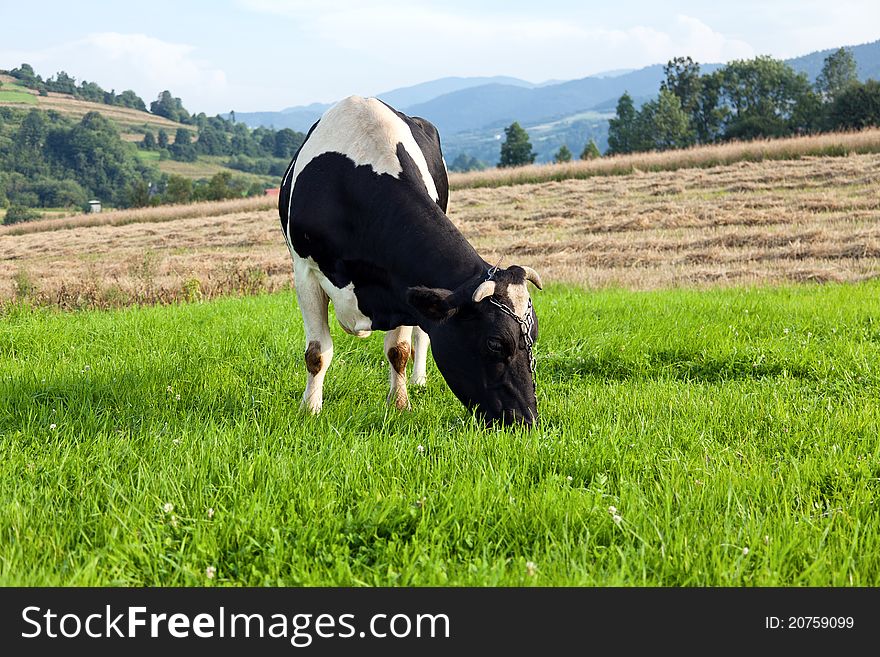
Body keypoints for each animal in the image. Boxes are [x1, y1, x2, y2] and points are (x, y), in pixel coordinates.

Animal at [280, 96, 544, 426]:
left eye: (533, 337)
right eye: (494, 343)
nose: (526, 419)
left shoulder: (403, 285)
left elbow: (399, 350)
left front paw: (400, 404)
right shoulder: (305, 270)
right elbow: (317, 352)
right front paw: (310, 409)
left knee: (422, 334)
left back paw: (418, 380)